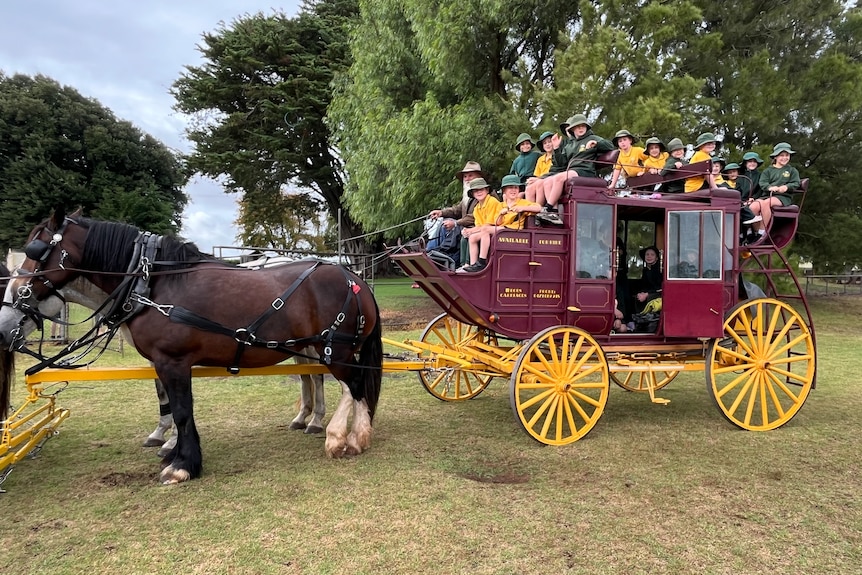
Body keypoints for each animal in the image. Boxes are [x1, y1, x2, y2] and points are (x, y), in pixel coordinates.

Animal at [0, 209, 382, 484]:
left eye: (35, 252)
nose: (6, 321)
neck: (152, 284)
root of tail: (354, 278)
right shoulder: (163, 363)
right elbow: (173, 405)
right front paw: (173, 450)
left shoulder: (172, 360)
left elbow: (182, 411)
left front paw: (182, 464)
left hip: (335, 350)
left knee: (352, 385)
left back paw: (343, 437)